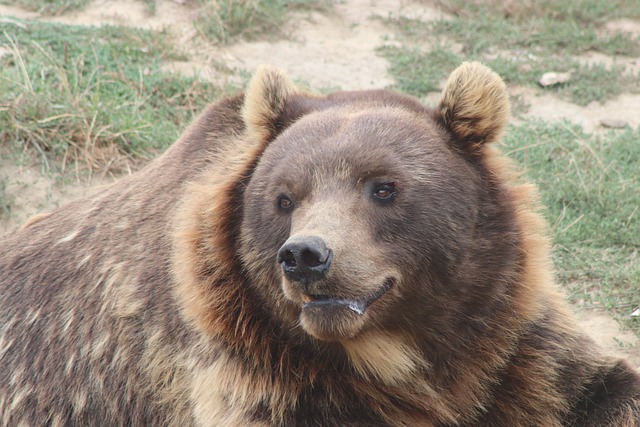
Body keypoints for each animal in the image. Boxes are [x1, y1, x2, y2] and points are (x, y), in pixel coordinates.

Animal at [1, 61, 640, 426]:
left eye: (384, 187)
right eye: (285, 198)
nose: (306, 256)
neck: (397, 358)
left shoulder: (506, 336)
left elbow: (600, 385)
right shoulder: (261, 371)